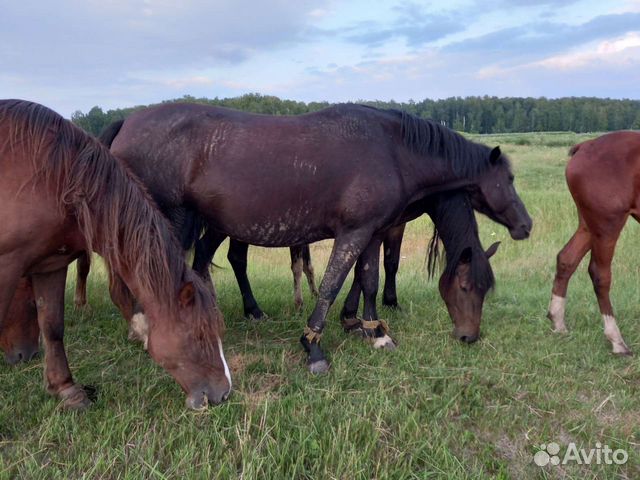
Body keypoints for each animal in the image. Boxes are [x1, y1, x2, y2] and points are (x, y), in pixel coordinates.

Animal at [0, 100, 230, 408]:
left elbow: (53, 327)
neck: (51, 178)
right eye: (200, 334)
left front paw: (67, 391)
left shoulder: (50, 264)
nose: (224, 392)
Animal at [102, 104, 532, 376]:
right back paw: (147, 327)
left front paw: (375, 331)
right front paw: (314, 346)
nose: (469, 336)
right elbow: (330, 285)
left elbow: (369, 279)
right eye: (465, 286)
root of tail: (127, 122)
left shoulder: (372, 232)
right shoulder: (354, 233)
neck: (392, 150)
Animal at [544, 131, 640, 356]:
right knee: (599, 274)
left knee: (566, 259)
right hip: (607, 226)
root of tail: (586, 146)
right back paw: (616, 340)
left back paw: (558, 321)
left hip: (589, 226)